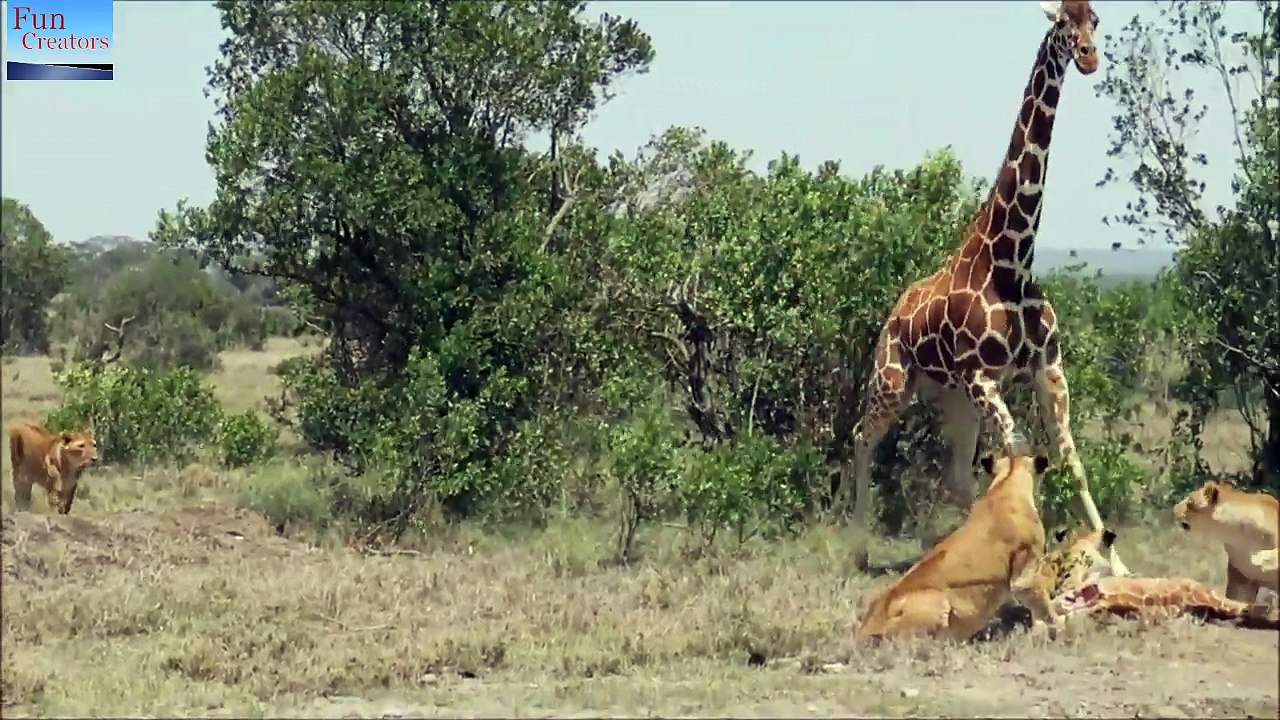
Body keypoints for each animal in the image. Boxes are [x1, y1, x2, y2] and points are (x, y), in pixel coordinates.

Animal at [840, 0, 1133, 576]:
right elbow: (1020, 452)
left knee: (955, 475)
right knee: (864, 438)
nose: (1089, 58)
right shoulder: (984, 377)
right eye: (1062, 25)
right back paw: (859, 548)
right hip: (893, 380)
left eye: (1096, 20)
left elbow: (1071, 459)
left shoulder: (1047, 368)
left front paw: (1120, 565)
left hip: (952, 398)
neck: (1012, 259)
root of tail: (894, 312)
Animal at [853, 450, 1066, 643]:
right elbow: (1045, 608)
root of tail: (863, 631)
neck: (1006, 483)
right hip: (937, 602)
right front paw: (1061, 631)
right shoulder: (1023, 577)